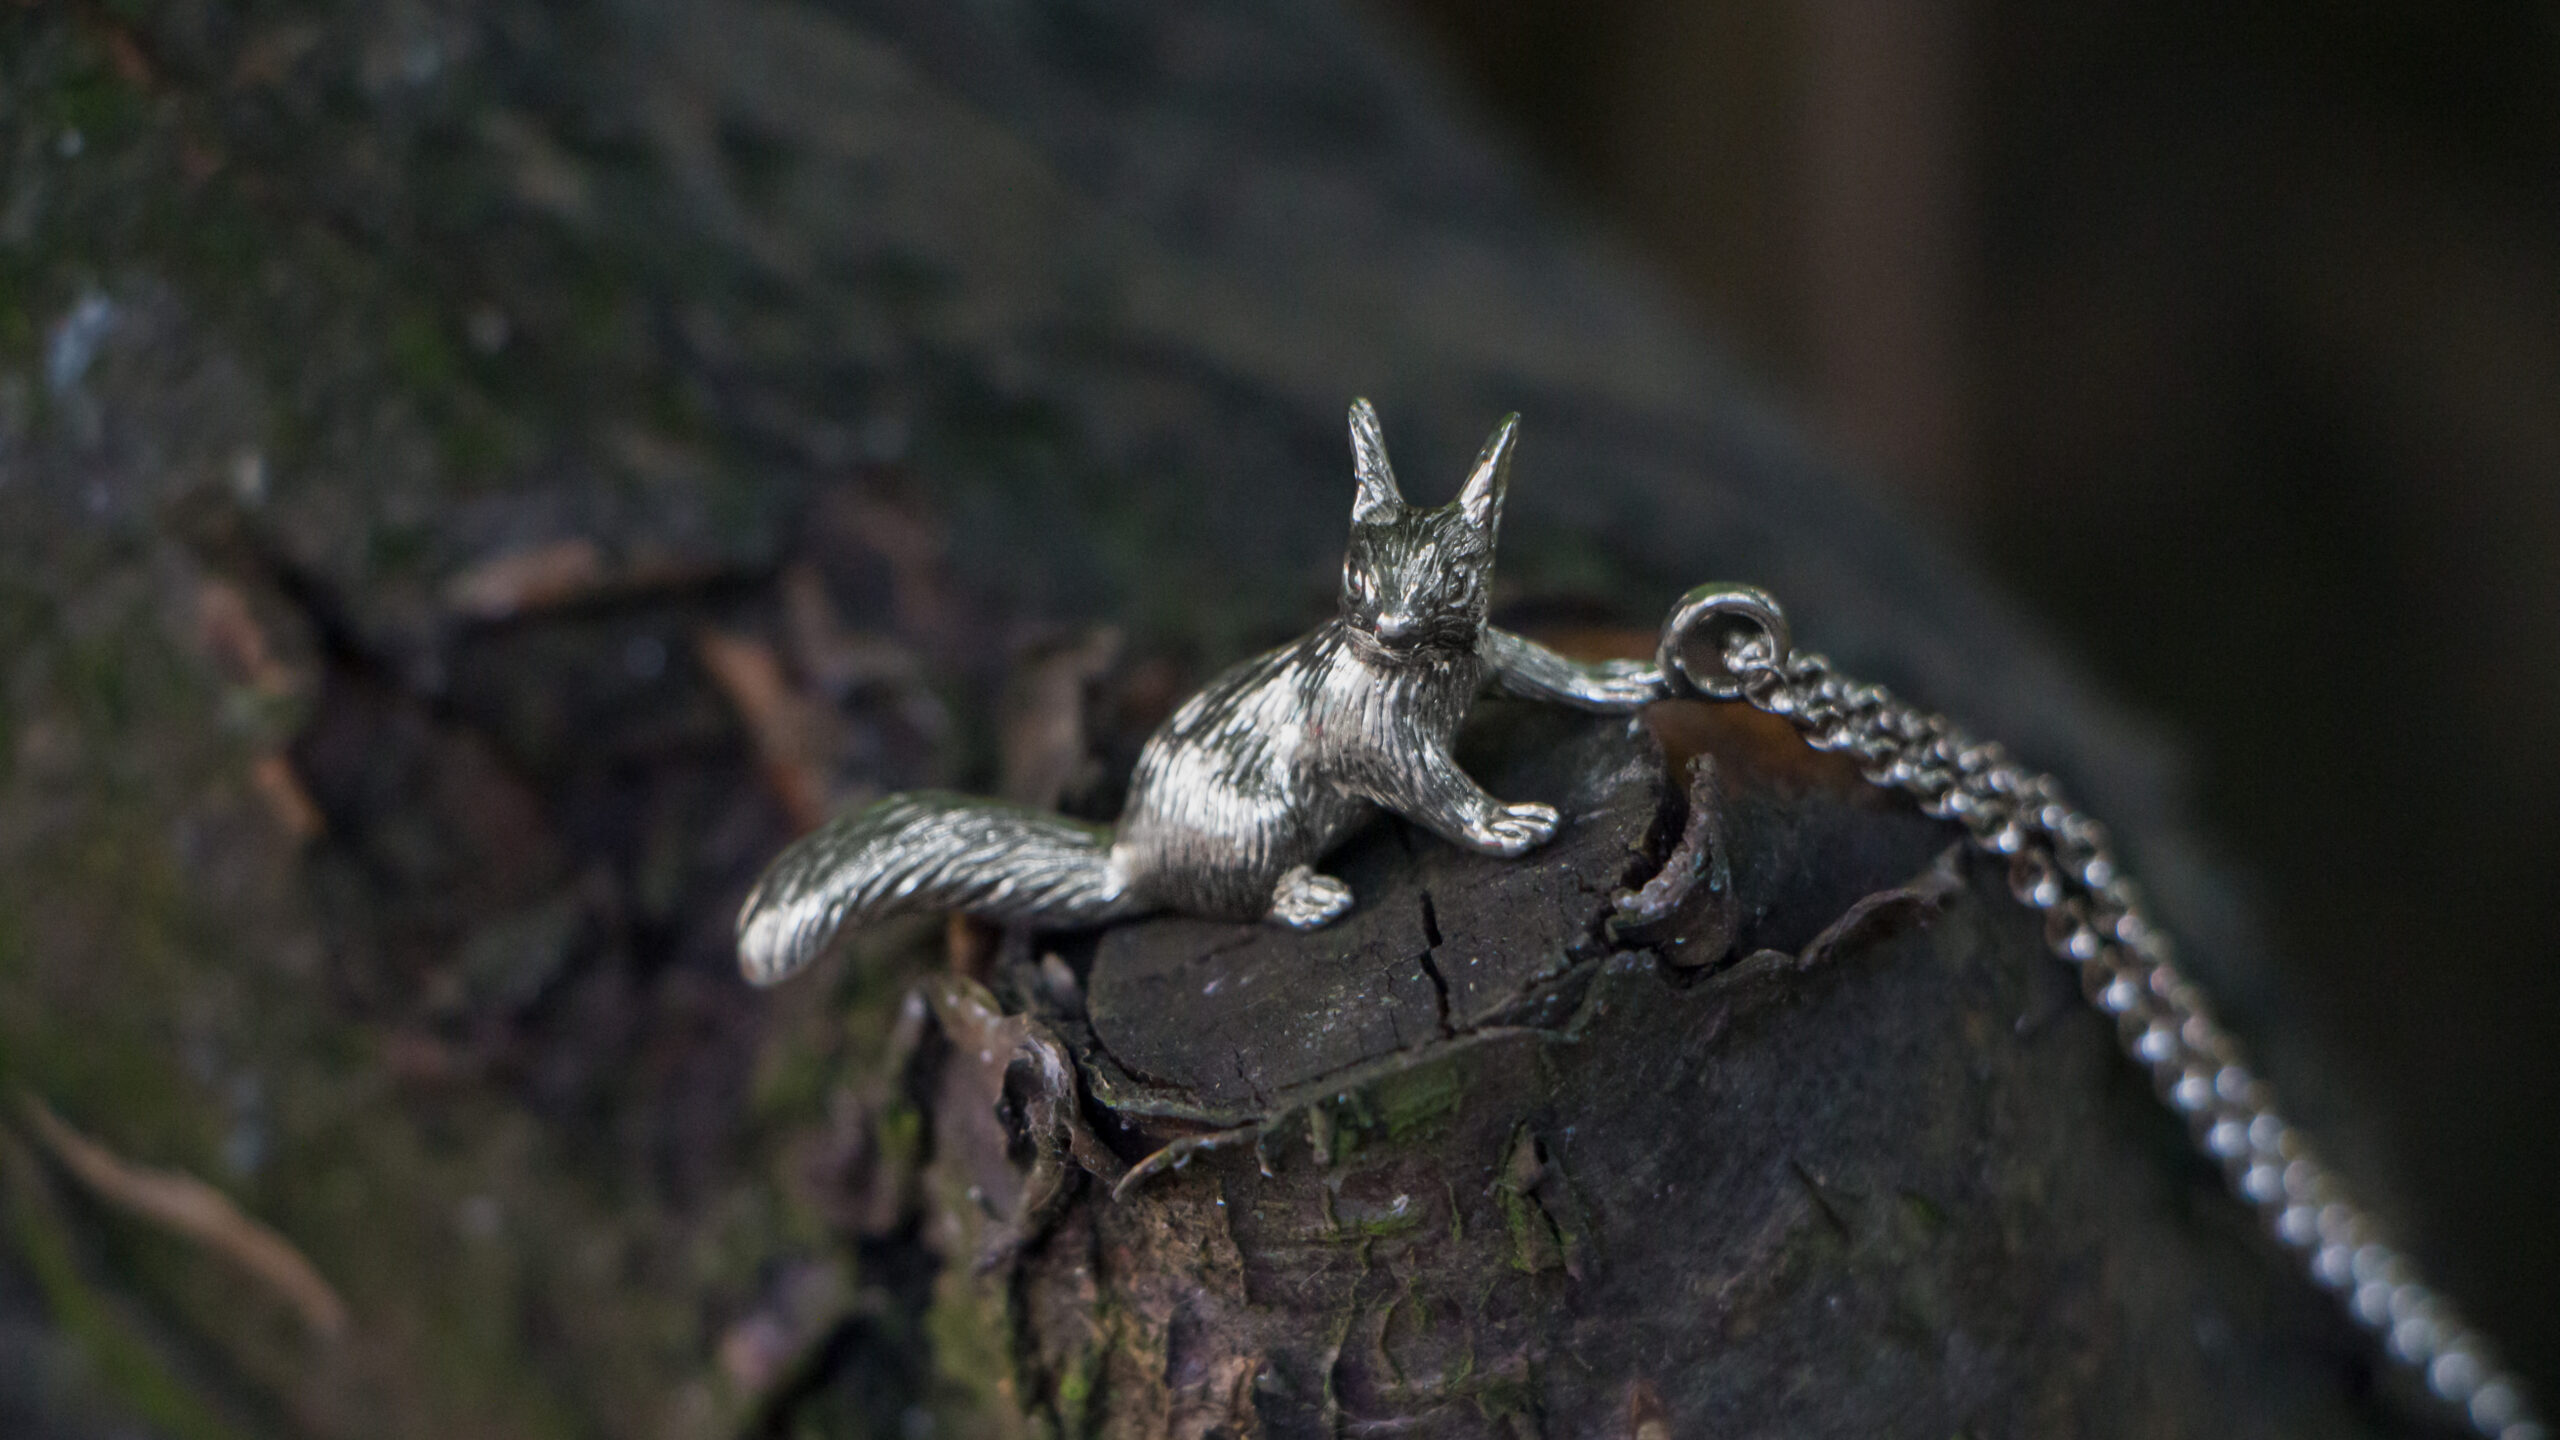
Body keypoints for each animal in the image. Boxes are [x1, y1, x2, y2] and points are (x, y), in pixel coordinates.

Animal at [736, 400, 1664, 986]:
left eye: (1460, 579)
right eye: (1356, 574)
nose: (1392, 628)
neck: (1420, 669)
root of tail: (1132, 855)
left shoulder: (1488, 656)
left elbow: (1540, 666)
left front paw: (1623, 679)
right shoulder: (1374, 740)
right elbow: (1434, 790)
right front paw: (1506, 823)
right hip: (1256, 823)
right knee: (1242, 899)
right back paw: (1306, 895)